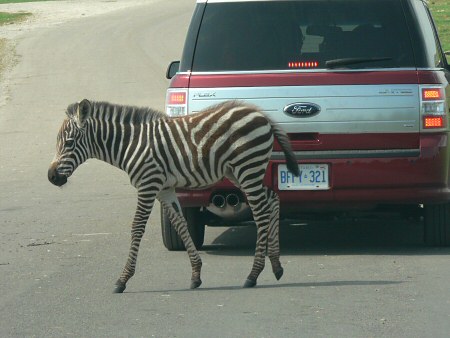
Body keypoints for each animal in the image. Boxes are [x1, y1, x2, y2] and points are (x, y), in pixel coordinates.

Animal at [48, 98, 298, 294]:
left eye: (69, 142)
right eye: (58, 142)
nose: (51, 177)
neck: (130, 144)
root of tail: (261, 114)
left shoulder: (148, 185)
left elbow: (137, 227)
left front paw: (123, 279)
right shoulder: (164, 189)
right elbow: (180, 224)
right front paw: (196, 274)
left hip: (247, 167)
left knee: (261, 213)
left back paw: (253, 275)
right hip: (240, 172)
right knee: (272, 199)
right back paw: (276, 266)